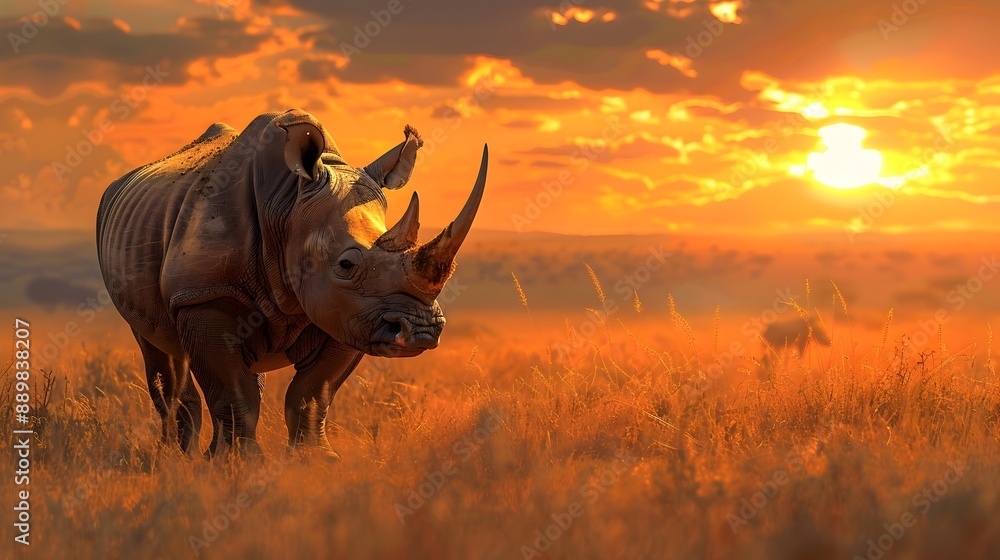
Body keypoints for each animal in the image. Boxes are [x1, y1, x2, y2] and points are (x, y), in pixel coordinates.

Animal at [96, 109, 487, 458]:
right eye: (346, 265)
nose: (421, 331)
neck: (287, 206)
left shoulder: (347, 314)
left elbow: (312, 393)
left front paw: (314, 460)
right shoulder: (203, 295)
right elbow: (232, 391)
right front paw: (239, 463)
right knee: (159, 352)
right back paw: (175, 458)